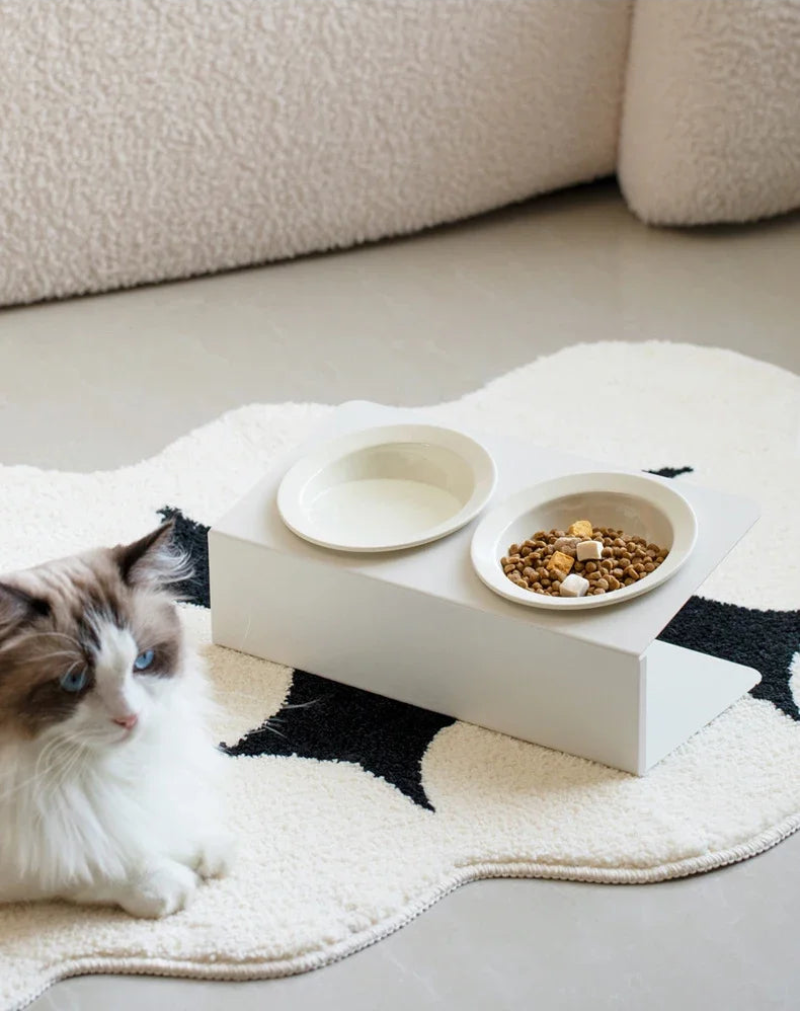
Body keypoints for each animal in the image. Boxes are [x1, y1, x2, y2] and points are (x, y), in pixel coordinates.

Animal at [0, 525, 231, 922]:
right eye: (74, 680)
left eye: (143, 661)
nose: (130, 716)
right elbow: (78, 861)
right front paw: (162, 881)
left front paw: (201, 844)